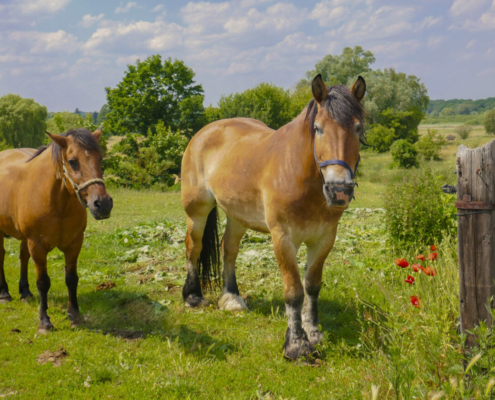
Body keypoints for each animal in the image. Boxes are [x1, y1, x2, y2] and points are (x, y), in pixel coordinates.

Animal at [0, 129, 113, 334]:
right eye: (72, 161)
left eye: (100, 159)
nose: (103, 204)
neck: (57, 203)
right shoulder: (37, 246)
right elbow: (43, 282)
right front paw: (45, 322)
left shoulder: (74, 244)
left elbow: (71, 278)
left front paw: (75, 316)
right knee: (1, 256)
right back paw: (4, 293)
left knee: (23, 256)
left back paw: (25, 292)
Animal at [182, 76, 368, 360]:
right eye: (318, 128)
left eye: (358, 128)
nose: (339, 189)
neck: (300, 176)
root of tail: (204, 132)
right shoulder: (283, 239)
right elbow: (294, 291)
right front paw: (296, 344)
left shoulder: (324, 239)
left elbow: (312, 285)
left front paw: (314, 333)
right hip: (197, 210)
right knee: (194, 247)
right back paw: (193, 297)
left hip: (237, 216)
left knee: (229, 250)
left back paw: (232, 298)